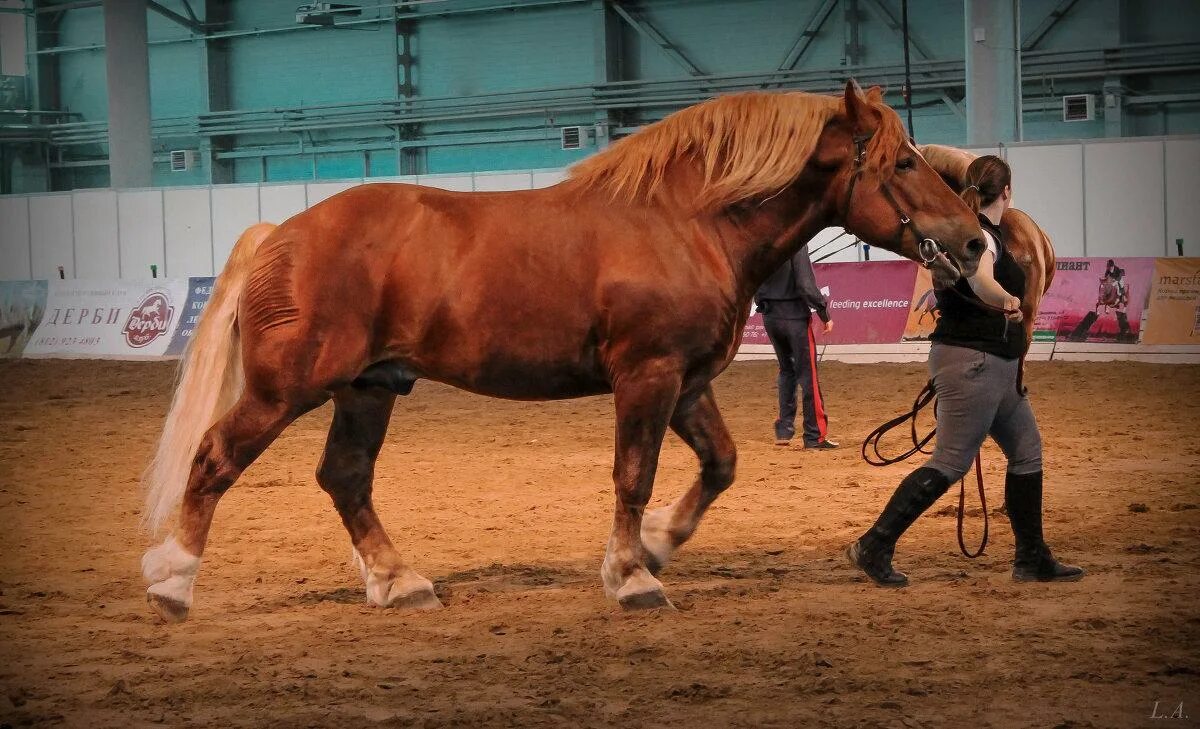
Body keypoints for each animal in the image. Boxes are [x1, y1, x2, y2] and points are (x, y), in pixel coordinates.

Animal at [142, 82, 984, 623]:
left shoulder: (686, 383)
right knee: (215, 459)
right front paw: (634, 577)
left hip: (369, 387)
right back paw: (174, 582)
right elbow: (633, 473)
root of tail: (279, 233)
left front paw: (655, 546)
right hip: (289, 389)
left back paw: (397, 580)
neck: (684, 220)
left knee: (344, 477)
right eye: (903, 162)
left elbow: (719, 464)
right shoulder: (646, 376)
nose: (974, 240)